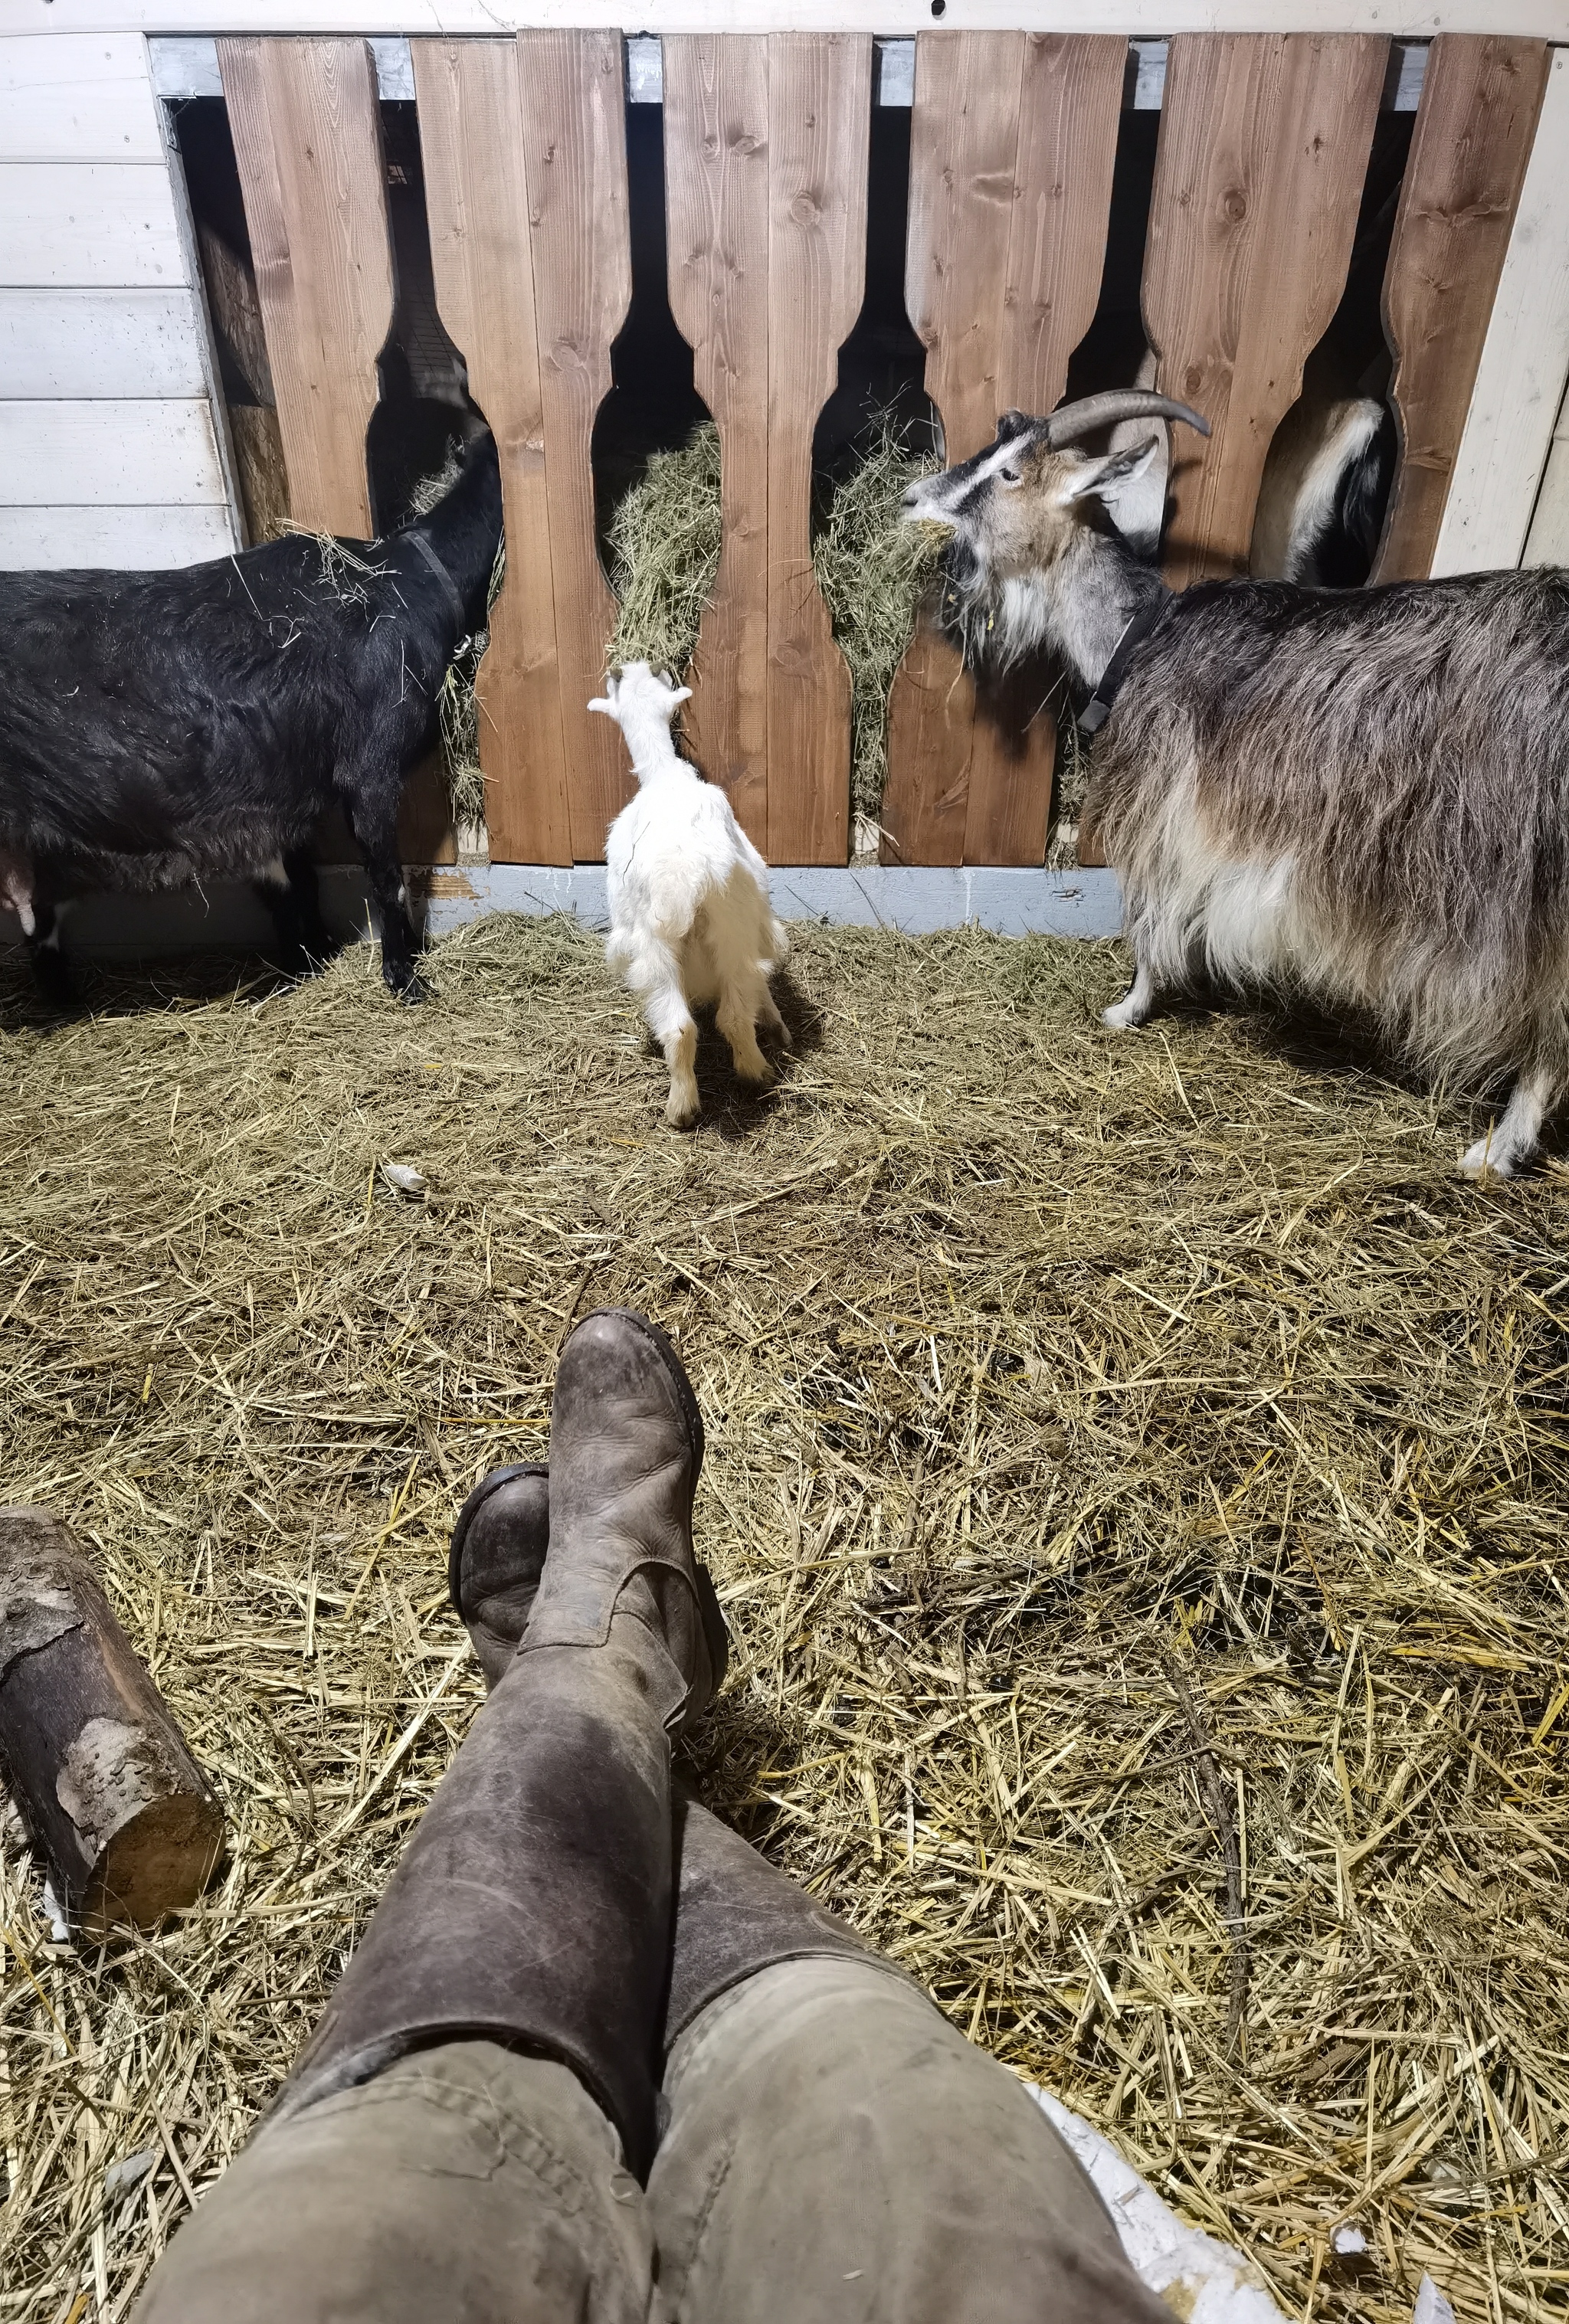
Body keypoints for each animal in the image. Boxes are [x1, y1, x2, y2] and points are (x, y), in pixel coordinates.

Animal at [0, 432, 500, 1003]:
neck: (410, 582)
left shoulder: (283, 799)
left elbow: (297, 884)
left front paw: (316, 959)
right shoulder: (368, 768)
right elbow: (386, 882)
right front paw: (406, 980)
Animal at [906, 397, 1569, 1180]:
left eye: (1008, 473)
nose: (912, 498)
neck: (1139, 640)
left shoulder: (1167, 799)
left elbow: (1152, 913)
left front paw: (1129, 1009)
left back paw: (1496, 1150)